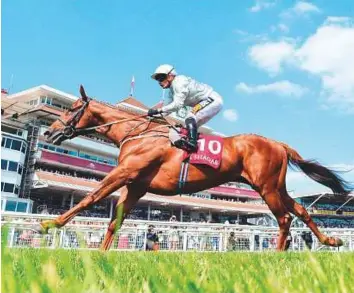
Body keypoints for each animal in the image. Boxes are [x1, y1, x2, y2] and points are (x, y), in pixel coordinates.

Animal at [38, 85, 352, 250]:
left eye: (71, 109)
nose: (49, 132)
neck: (137, 133)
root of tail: (279, 144)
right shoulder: (136, 185)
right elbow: (116, 220)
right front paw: (102, 255)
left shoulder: (124, 174)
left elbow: (90, 197)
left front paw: (50, 223)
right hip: (275, 186)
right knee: (301, 210)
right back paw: (330, 239)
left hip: (266, 187)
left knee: (285, 219)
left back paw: (276, 253)